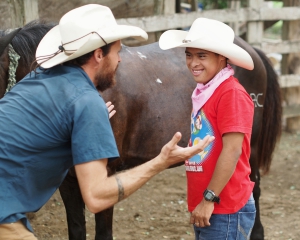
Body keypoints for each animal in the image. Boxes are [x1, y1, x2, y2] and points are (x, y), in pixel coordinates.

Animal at [0, 21, 282, 240]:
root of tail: (251, 50)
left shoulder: (107, 176)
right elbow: (77, 229)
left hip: (249, 150)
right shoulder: (68, 182)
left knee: (253, 188)